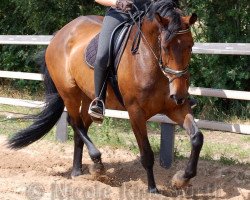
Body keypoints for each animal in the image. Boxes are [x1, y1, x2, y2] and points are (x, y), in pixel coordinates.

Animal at [8, 0, 203, 193]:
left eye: (191, 45)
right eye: (165, 47)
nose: (179, 94)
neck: (149, 62)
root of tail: (59, 34)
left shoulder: (176, 108)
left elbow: (197, 138)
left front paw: (182, 179)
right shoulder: (136, 113)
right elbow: (147, 153)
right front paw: (152, 189)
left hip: (88, 96)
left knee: (82, 126)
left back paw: (78, 171)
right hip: (69, 93)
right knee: (75, 122)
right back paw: (97, 164)